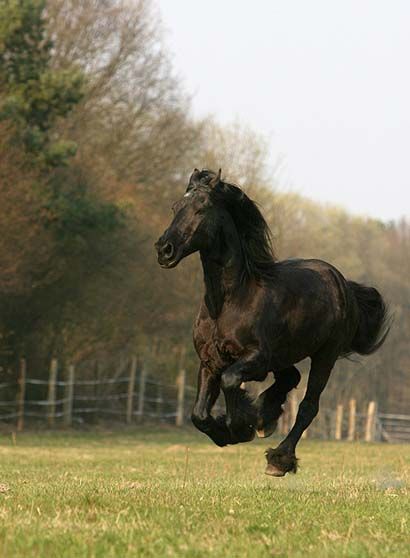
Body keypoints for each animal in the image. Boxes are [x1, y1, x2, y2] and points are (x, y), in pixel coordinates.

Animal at [154, 170, 388, 476]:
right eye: (174, 208)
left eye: (201, 209)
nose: (164, 250)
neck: (229, 301)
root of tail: (342, 284)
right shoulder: (210, 360)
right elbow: (198, 415)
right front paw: (238, 425)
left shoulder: (256, 357)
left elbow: (231, 381)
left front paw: (241, 427)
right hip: (283, 354)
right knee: (291, 378)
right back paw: (267, 416)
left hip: (324, 355)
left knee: (308, 405)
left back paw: (278, 459)